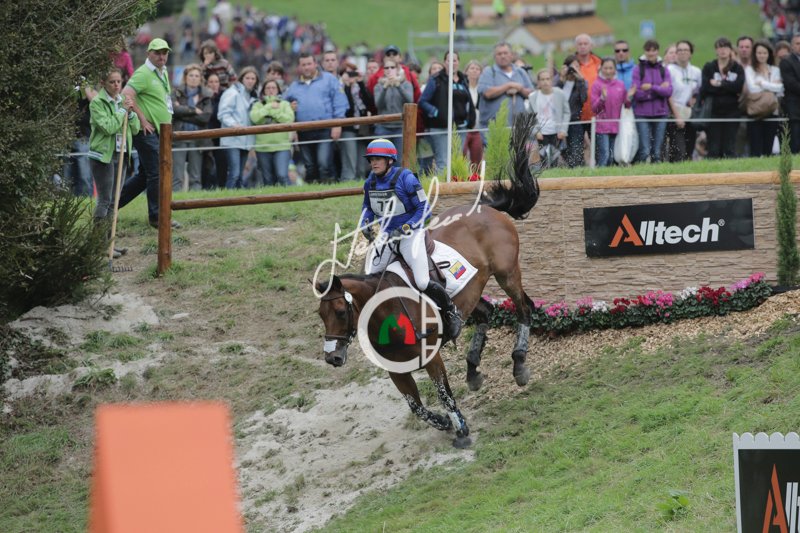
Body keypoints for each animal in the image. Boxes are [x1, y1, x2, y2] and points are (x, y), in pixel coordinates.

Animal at [315, 113, 540, 448]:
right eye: (321, 315)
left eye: (342, 312)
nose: (332, 358)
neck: (385, 314)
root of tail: (486, 208)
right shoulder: (397, 370)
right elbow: (416, 406)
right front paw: (444, 423)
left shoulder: (431, 358)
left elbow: (443, 393)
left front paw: (461, 431)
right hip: (471, 291)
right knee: (485, 313)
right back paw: (473, 370)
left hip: (507, 273)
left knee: (524, 308)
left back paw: (520, 364)